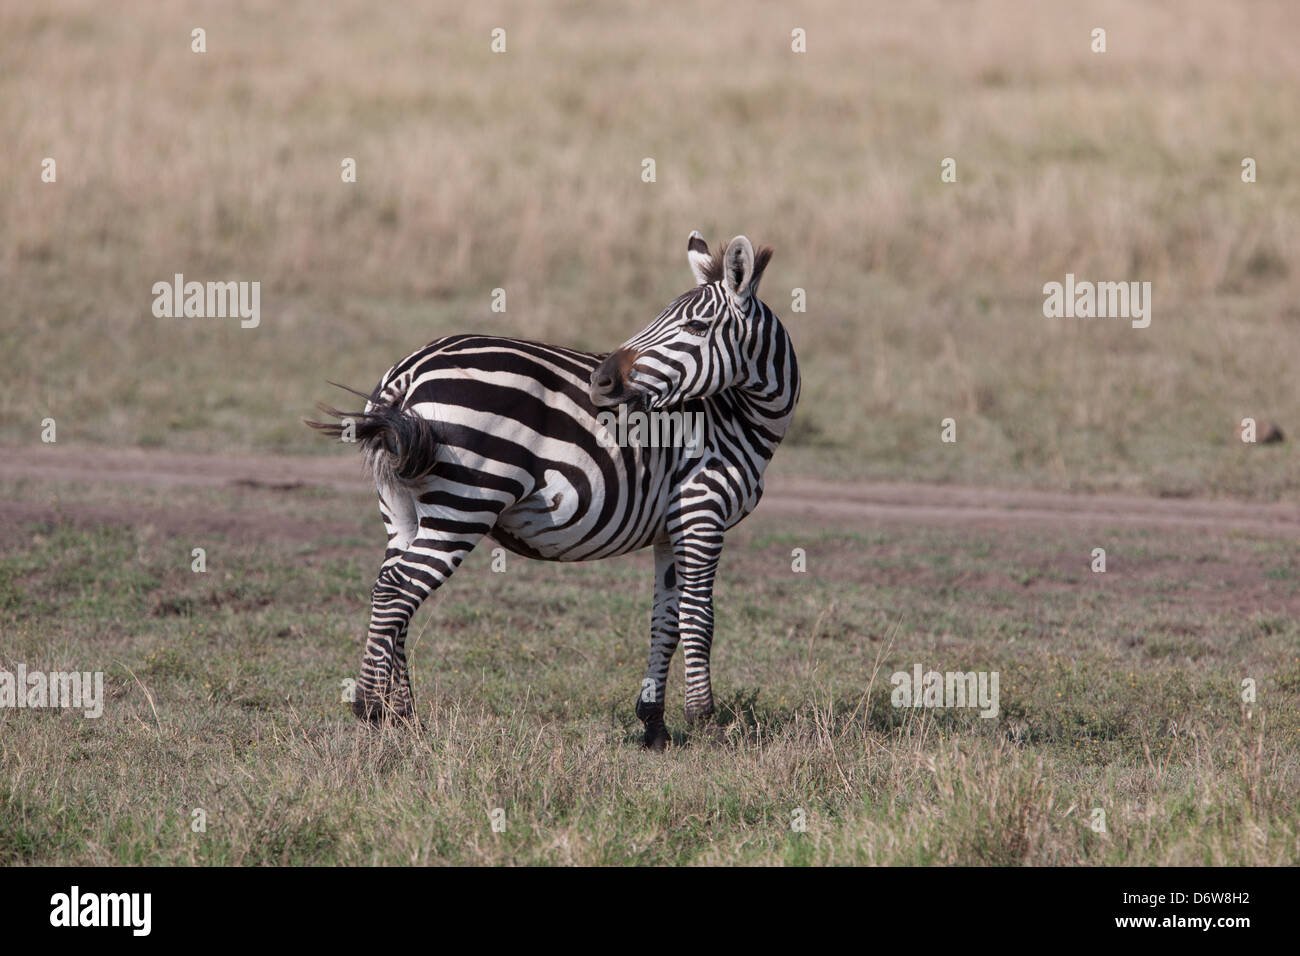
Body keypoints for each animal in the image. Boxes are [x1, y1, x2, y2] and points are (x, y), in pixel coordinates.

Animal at [309, 230, 795, 749]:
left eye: (698, 326)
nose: (602, 381)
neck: (735, 415)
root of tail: (408, 372)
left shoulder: (670, 529)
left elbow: (665, 622)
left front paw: (655, 725)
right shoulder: (703, 509)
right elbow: (698, 618)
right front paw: (704, 721)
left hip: (401, 505)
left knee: (390, 589)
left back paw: (400, 714)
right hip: (466, 502)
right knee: (397, 589)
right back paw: (371, 707)